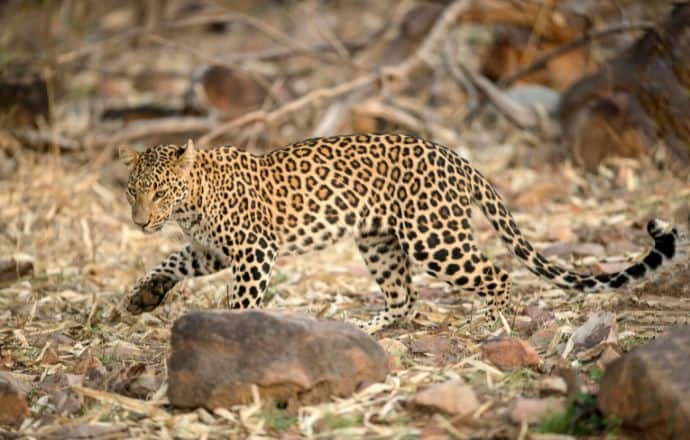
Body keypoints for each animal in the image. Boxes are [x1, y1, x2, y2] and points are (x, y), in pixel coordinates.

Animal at [118, 134, 676, 334]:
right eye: (131, 191)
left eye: (160, 191)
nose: (141, 223)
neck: (191, 203)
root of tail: (457, 159)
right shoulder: (211, 250)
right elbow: (171, 263)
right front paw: (141, 297)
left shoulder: (254, 249)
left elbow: (242, 299)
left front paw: (234, 332)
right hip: (379, 241)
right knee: (405, 298)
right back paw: (364, 328)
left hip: (435, 237)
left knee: (496, 273)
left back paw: (491, 324)